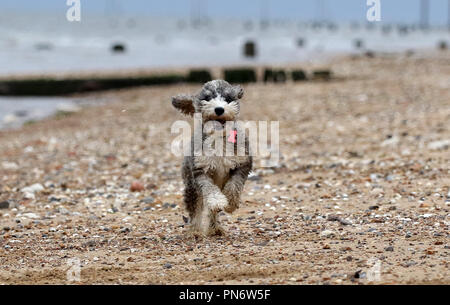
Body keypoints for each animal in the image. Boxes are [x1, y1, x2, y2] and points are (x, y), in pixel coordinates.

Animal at [171, 79, 251, 234]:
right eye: (207, 98)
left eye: (228, 99)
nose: (219, 109)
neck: (218, 137)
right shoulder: (200, 170)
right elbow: (210, 191)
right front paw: (218, 201)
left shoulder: (242, 165)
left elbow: (234, 186)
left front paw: (230, 204)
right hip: (191, 186)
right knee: (195, 209)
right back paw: (195, 231)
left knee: (212, 211)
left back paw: (215, 229)